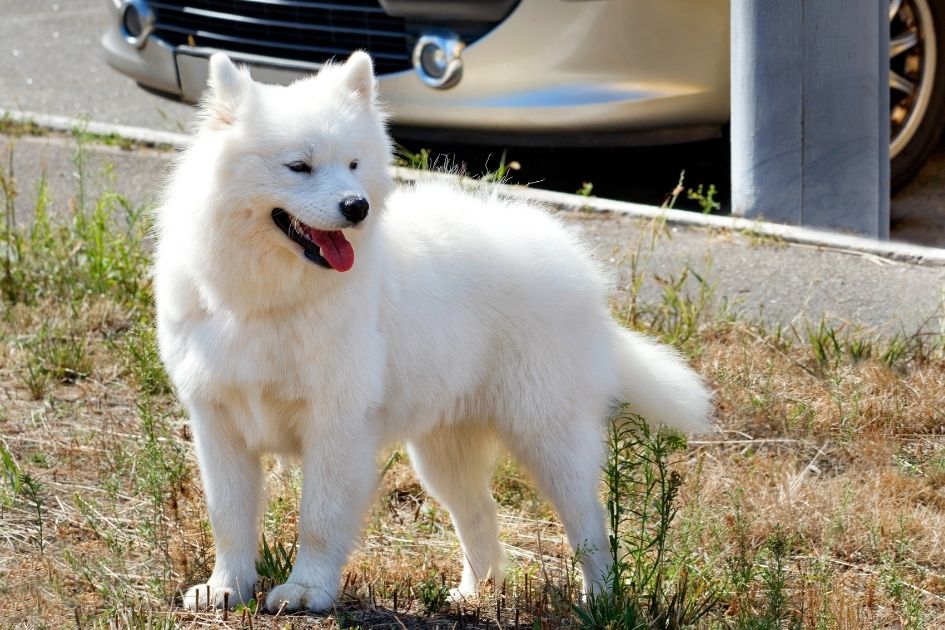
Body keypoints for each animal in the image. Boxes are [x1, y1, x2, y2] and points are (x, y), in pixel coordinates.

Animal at [155, 51, 712, 616]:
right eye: (299, 166)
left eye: (353, 165)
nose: (357, 208)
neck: (266, 301)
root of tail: (577, 266)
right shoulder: (218, 421)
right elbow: (229, 518)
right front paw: (225, 588)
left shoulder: (335, 425)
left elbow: (320, 519)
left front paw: (307, 592)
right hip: (444, 452)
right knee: (481, 517)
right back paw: (474, 594)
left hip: (549, 438)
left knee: (591, 527)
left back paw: (598, 602)